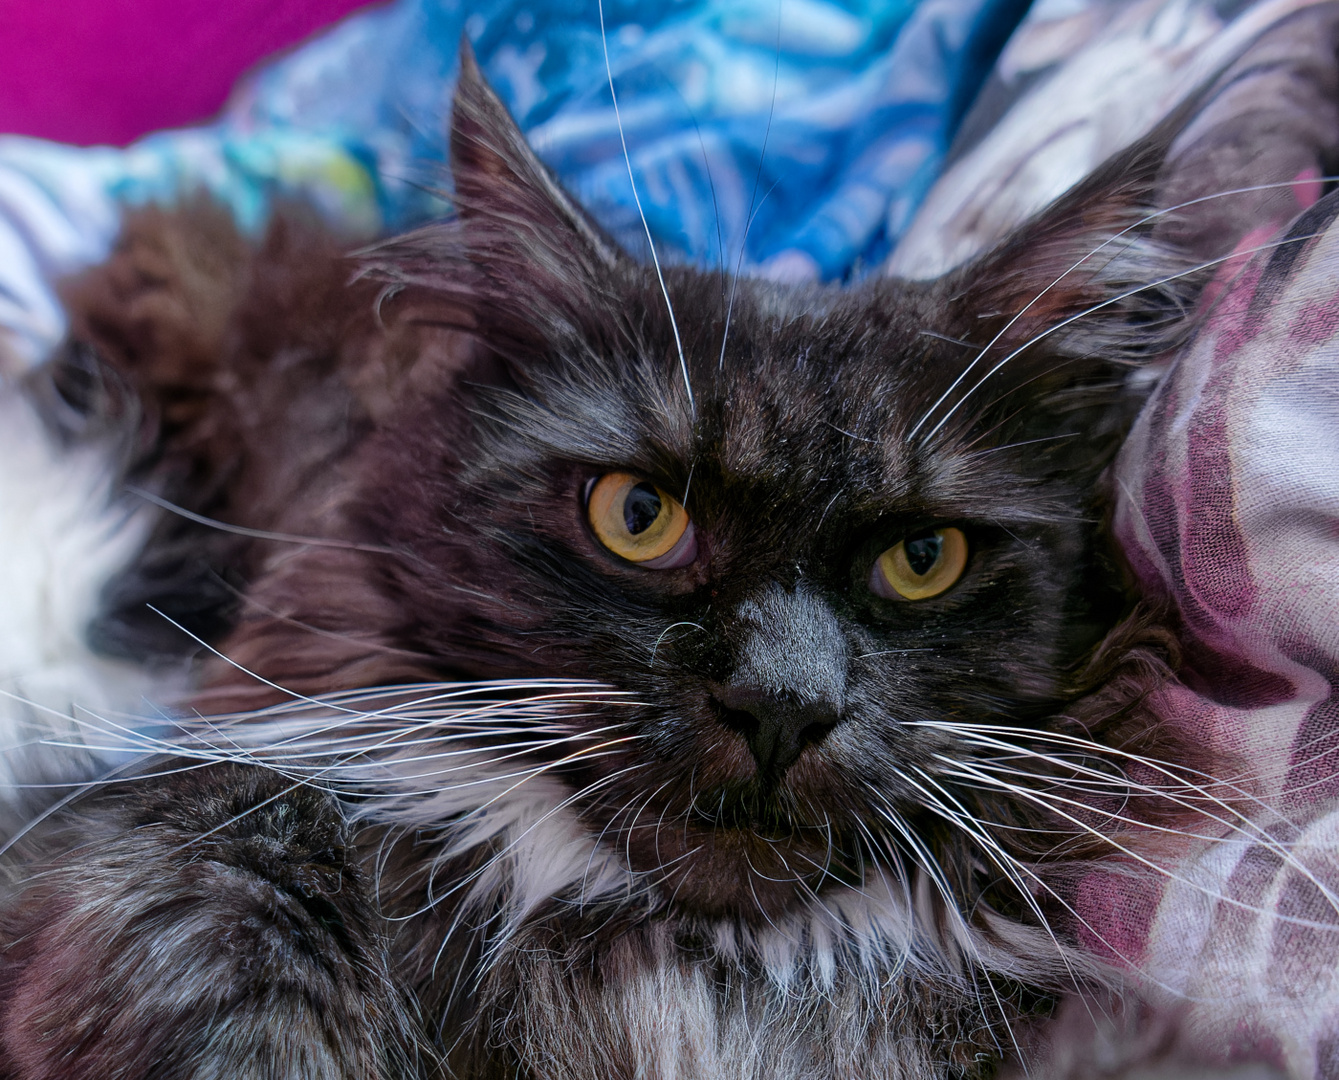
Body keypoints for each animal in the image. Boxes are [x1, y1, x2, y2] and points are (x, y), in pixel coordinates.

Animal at [0, 46, 1226, 1075]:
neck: (696, 963)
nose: (781, 704)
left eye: (922, 556)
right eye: (638, 515)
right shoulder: (177, 825)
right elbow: (235, 948)